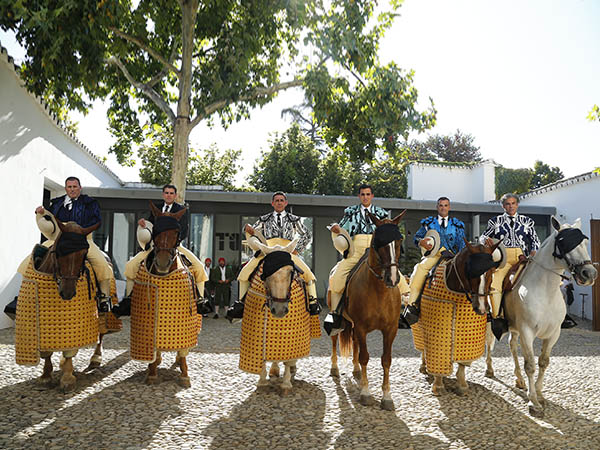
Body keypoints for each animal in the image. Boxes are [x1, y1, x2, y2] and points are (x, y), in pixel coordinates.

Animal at [129, 202, 200, 387]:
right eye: (155, 231)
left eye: (176, 233)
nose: (162, 263)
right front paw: (152, 372)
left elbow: (183, 349)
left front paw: (184, 374)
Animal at [238, 238, 320, 395]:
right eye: (266, 272)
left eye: (291, 272)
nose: (280, 310)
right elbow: (263, 358)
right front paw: (262, 381)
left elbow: (288, 359)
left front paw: (286, 384)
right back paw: (274, 371)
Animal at [331, 210, 407, 411]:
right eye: (378, 242)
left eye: (399, 240)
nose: (392, 278)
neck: (379, 291)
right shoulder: (361, 327)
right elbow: (365, 356)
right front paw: (366, 394)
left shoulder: (390, 330)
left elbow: (386, 359)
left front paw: (387, 397)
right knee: (335, 340)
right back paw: (334, 368)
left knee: (355, 344)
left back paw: (357, 371)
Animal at [411, 238, 503, 396]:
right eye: (470, 272)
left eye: (491, 272)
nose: (482, 308)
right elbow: (438, 358)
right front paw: (438, 385)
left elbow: (462, 364)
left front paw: (462, 385)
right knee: (422, 346)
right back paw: (423, 365)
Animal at [484, 217, 597, 417]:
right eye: (563, 241)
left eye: (585, 242)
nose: (589, 274)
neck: (545, 292)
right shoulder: (527, 332)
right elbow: (530, 364)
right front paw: (534, 402)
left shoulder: (553, 334)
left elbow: (543, 362)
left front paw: (539, 393)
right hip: (493, 323)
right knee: (489, 343)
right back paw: (489, 369)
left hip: (515, 328)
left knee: (512, 346)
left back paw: (519, 379)